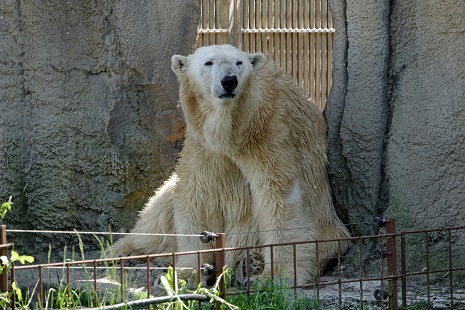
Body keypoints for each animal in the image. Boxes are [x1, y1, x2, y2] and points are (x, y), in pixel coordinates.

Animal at [111, 44, 348, 286]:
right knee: (160, 209)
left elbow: (279, 199)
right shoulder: (203, 146)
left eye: (238, 63)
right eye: (209, 62)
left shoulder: (270, 134)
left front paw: (275, 274)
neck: (234, 129)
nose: (229, 81)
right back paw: (122, 252)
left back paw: (249, 264)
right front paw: (189, 272)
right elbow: (196, 197)